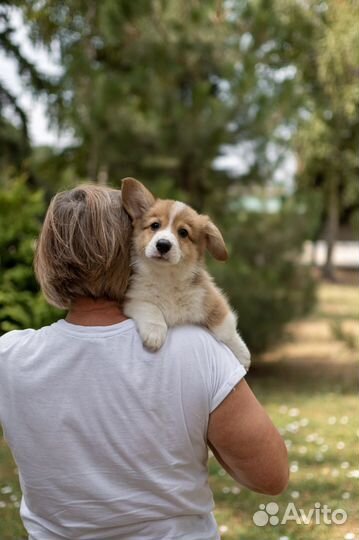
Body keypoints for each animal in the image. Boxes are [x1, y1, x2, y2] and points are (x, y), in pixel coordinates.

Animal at [121, 179, 250, 370]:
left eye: (183, 233)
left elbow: (225, 329)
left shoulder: (210, 299)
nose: (163, 245)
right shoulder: (132, 298)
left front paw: (242, 355)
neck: (168, 276)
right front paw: (154, 334)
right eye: (155, 226)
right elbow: (150, 308)